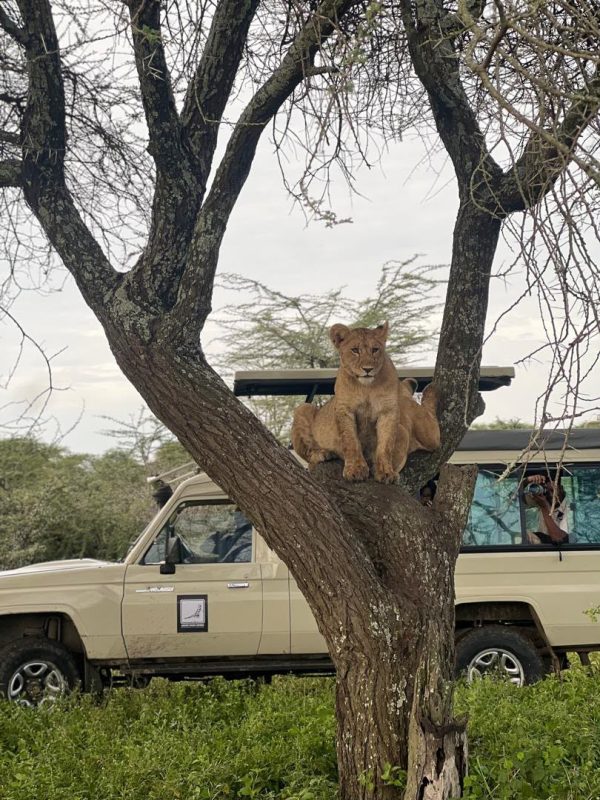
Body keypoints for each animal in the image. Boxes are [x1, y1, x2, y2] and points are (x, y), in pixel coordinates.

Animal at [291, 322, 440, 483]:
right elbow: (351, 440)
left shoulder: (389, 410)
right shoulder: (344, 408)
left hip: (427, 433)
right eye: (355, 350)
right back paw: (322, 453)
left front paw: (385, 472)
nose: (367, 369)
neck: (366, 387)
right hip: (303, 408)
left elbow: (386, 444)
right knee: (309, 457)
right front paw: (355, 470)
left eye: (375, 350)